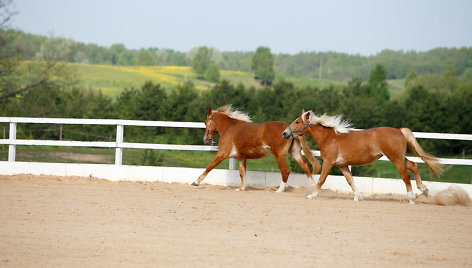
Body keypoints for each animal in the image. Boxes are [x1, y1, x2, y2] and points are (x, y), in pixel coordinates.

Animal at [192, 105, 320, 193]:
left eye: (205, 122)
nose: (205, 140)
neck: (228, 128)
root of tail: (288, 130)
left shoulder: (222, 154)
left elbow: (209, 167)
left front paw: (195, 182)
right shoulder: (241, 158)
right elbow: (242, 173)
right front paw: (241, 188)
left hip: (279, 155)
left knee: (285, 171)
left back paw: (279, 190)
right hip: (295, 153)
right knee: (306, 167)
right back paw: (313, 187)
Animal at [284, 109, 442, 203]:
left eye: (297, 121)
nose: (284, 133)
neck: (330, 138)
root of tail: (399, 130)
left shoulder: (328, 162)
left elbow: (321, 180)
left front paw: (312, 195)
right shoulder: (342, 165)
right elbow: (350, 181)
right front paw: (357, 197)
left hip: (396, 158)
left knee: (406, 176)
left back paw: (411, 198)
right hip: (399, 158)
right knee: (414, 166)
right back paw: (424, 190)